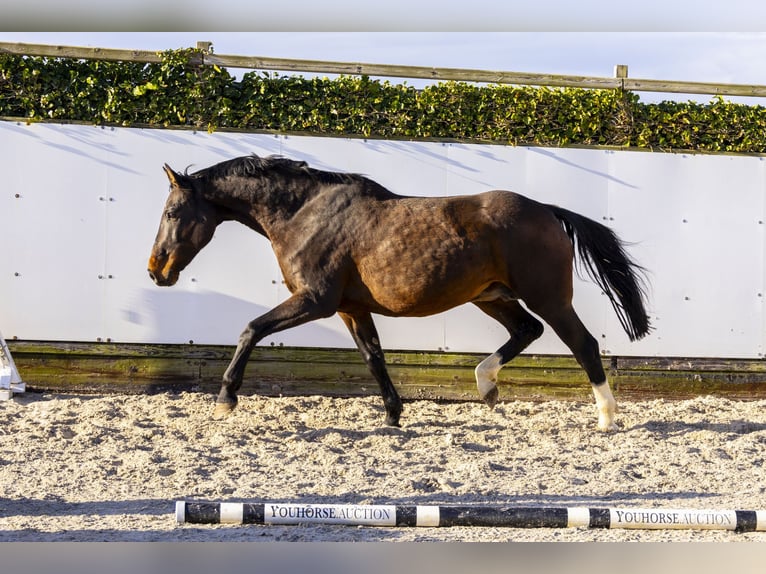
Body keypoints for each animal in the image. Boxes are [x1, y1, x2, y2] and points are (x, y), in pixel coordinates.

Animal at [152, 153, 656, 432]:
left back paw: (606, 418)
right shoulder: (350, 309)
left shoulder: (316, 301)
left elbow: (251, 329)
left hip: (548, 297)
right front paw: (394, 416)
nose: (156, 269)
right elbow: (373, 357)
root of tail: (548, 212)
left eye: (173, 212)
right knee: (527, 331)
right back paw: (487, 386)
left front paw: (225, 400)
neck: (304, 215)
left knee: (583, 343)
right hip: (491, 296)